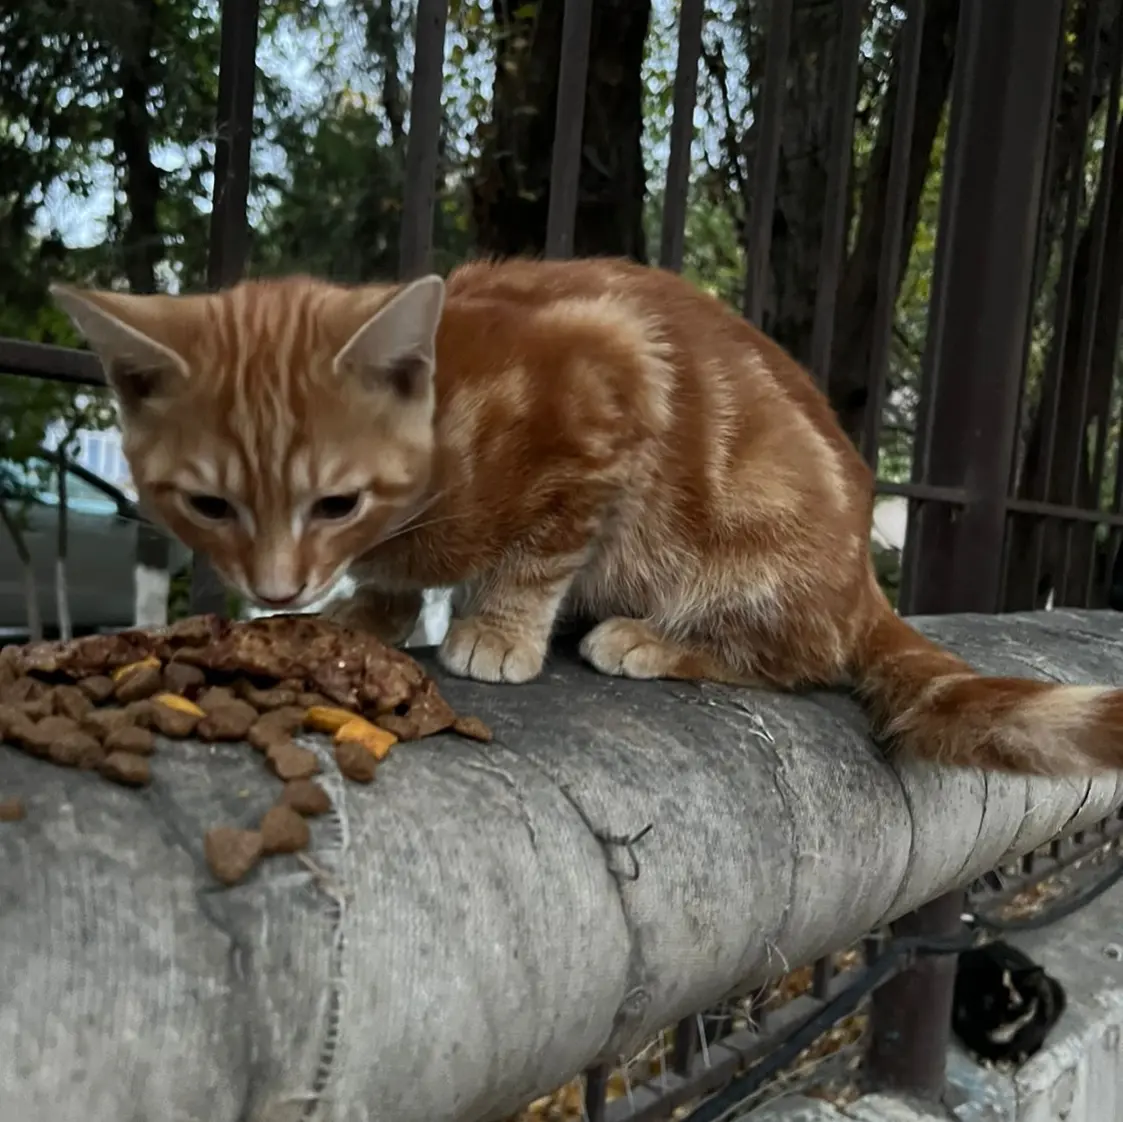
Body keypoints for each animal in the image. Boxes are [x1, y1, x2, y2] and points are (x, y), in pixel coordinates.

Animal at [52, 258, 1123, 777]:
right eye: (209, 505)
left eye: (336, 502)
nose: (280, 587)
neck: (451, 419)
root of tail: (862, 577)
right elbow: (396, 579)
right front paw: (365, 611)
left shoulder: (608, 387)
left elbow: (543, 544)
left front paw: (494, 629)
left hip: (765, 554)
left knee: (801, 657)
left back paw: (651, 639)